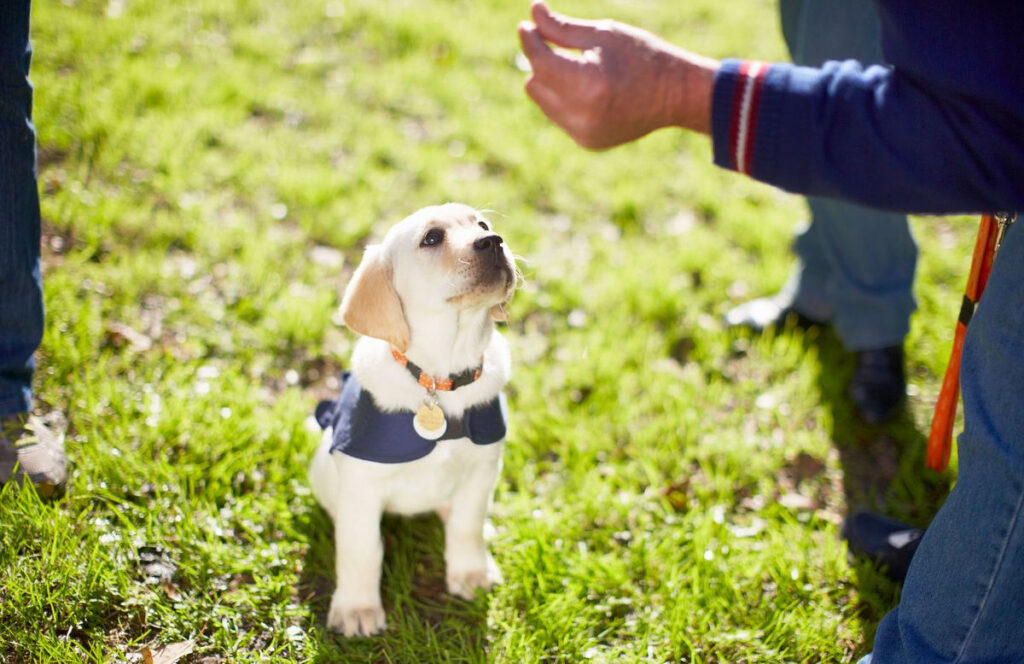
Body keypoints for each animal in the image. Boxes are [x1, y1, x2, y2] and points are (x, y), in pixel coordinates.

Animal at [307, 203, 516, 639]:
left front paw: (470, 572)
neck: (440, 377)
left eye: (482, 225)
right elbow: (361, 549)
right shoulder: (362, 484)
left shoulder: (483, 467)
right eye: (432, 238)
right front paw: (358, 608)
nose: (494, 241)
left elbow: (467, 524)